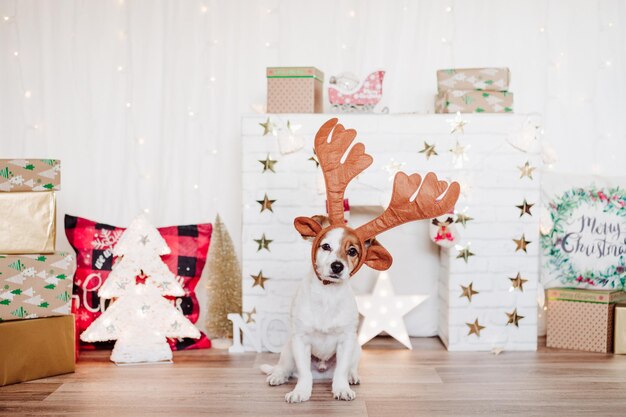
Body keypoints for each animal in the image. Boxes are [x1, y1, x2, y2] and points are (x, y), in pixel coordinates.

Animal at [256, 213, 388, 402]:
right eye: (326, 246)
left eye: (352, 251)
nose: (337, 266)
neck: (328, 294)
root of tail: (322, 372)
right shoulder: (300, 340)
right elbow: (305, 373)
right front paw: (301, 391)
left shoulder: (346, 340)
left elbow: (341, 370)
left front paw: (342, 388)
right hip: (288, 350)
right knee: (285, 368)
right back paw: (278, 376)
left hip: (357, 348)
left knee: (350, 367)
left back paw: (352, 377)